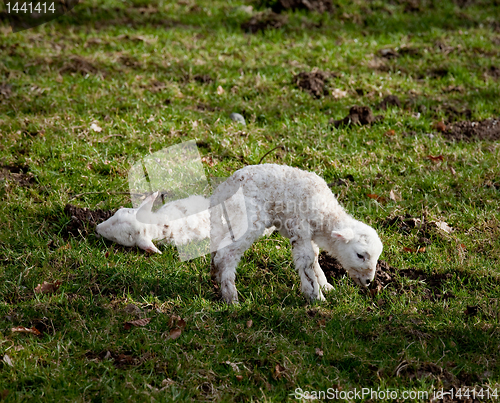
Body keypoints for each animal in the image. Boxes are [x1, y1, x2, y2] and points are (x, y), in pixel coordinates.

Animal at [210, 163, 382, 304]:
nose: (368, 281)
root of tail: (224, 188)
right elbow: (306, 260)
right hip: (248, 219)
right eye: (360, 255)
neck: (326, 213)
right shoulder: (300, 228)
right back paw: (231, 297)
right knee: (226, 254)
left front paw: (325, 285)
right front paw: (315, 296)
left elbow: (315, 256)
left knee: (217, 250)